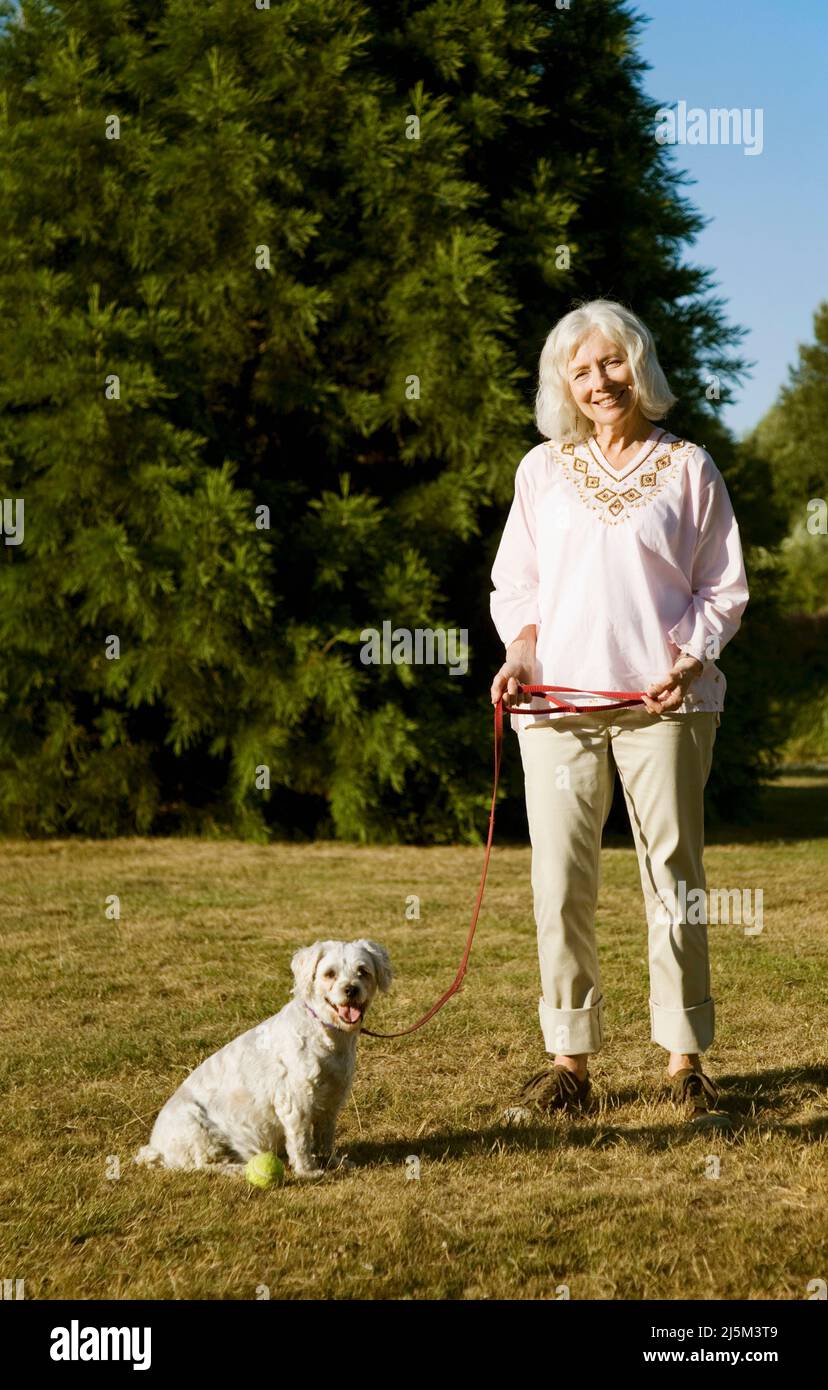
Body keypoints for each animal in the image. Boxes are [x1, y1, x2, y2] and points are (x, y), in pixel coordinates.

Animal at [134, 939, 391, 1178]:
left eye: (363, 971)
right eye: (330, 974)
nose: (351, 989)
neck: (324, 1030)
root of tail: (156, 1150)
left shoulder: (331, 1100)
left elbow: (325, 1137)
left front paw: (333, 1162)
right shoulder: (296, 1101)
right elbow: (300, 1141)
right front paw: (308, 1171)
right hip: (195, 1126)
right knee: (203, 1165)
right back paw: (238, 1169)